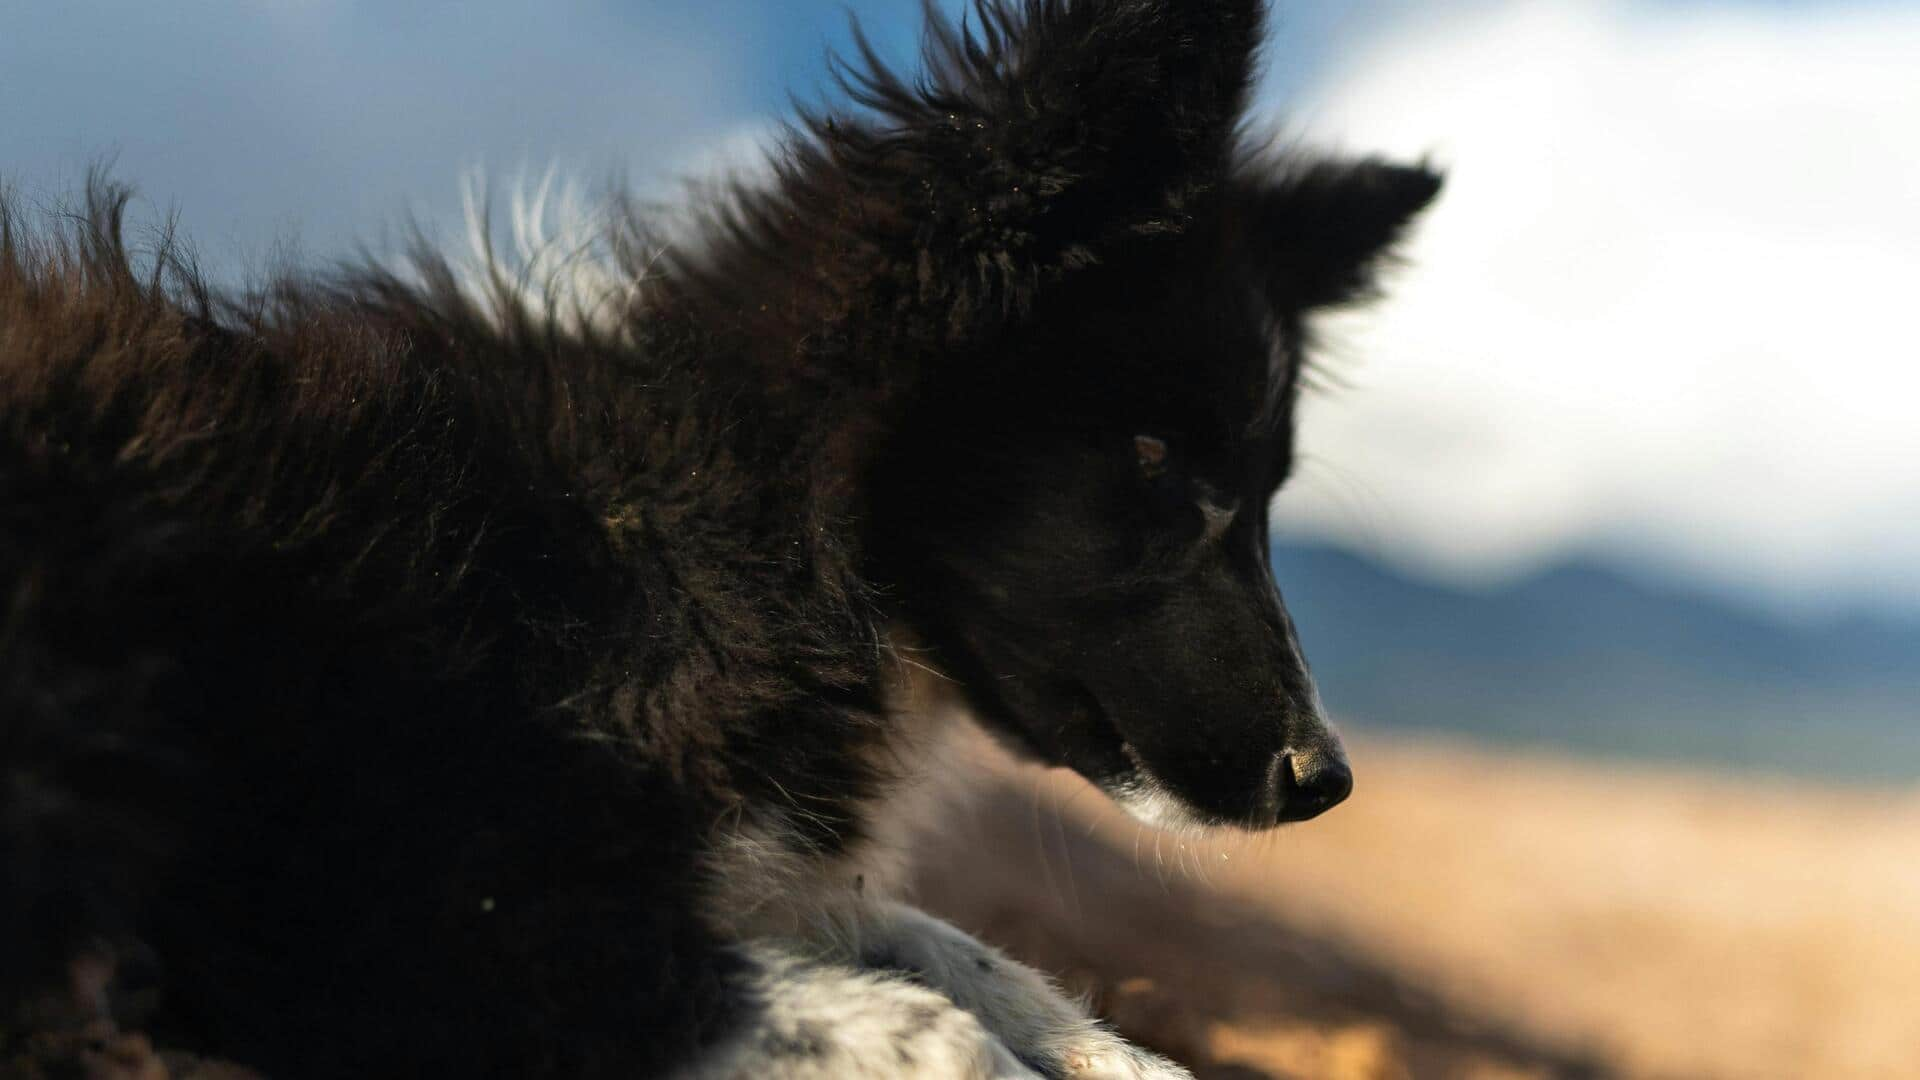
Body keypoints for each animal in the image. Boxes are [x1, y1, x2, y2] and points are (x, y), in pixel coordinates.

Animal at [3, 2, 1443, 1076]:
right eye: (1151, 460)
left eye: (1268, 490)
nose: (1327, 782)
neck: (731, 512)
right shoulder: (387, 867)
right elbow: (918, 1027)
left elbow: (951, 947)